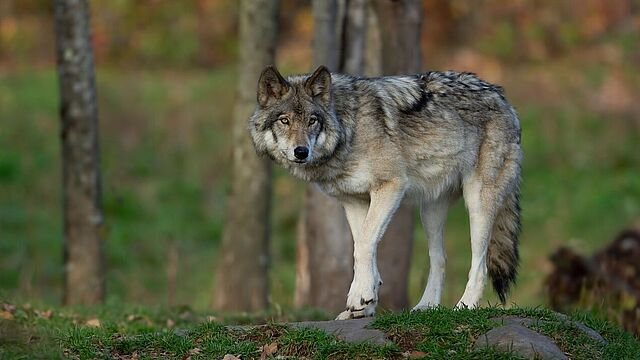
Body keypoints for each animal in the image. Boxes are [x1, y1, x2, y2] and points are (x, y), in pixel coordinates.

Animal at [248, 64, 524, 318]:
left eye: (312, 121)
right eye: (284, 120)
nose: (301, 151)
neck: (349, 129)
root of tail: (502, 97)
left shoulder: (391, 186)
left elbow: (364, 244)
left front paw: (359, 297)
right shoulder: (354, 201)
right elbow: (363, 246)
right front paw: (364, 304)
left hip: (478, 205)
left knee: (480, 265)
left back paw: (464, 307)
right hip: (430, 212)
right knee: (440, 260)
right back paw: (426, 307)